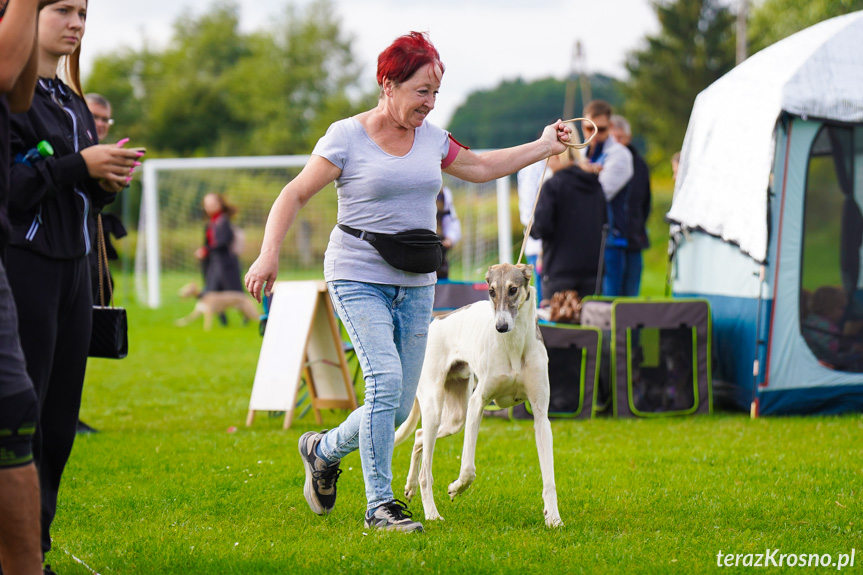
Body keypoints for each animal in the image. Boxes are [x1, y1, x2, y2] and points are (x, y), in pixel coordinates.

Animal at [394, 264, 564, 528]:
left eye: (513, 289)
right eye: (491, 291)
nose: (500, 327)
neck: (514, 345)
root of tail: (436, 320)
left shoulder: (540, 415)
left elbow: (549, 479)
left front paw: (553, 518)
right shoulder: (477, 404)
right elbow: (468, 469)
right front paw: (455, 488)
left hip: (455, 417)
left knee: (420, 436)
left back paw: (410, 487)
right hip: (436, 407)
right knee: (426, 470)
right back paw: (431, 512)